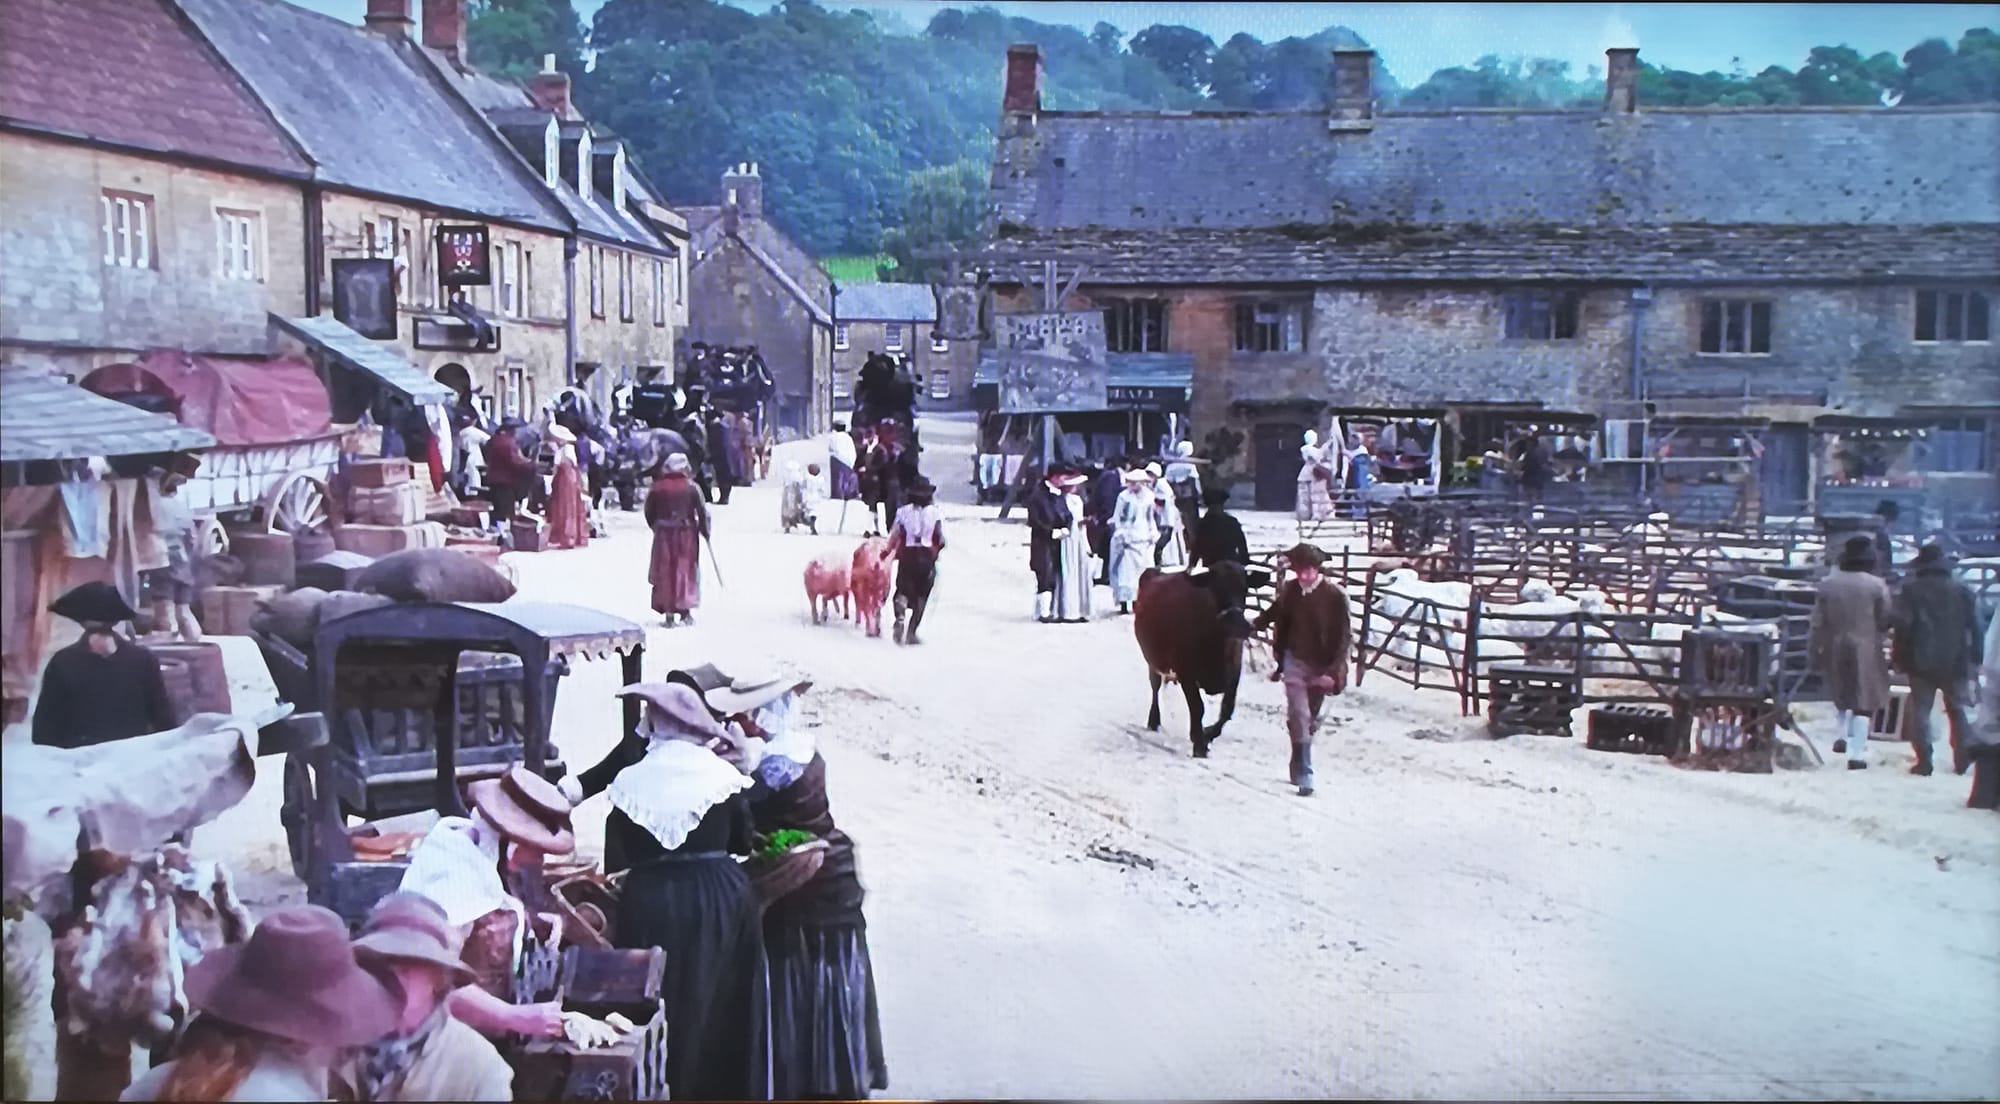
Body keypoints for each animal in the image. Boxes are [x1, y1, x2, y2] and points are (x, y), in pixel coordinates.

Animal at [1144, 564, 1248, 756]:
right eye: (1216, 588)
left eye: (1245, 589)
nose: (1238, 624)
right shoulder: (1186, 673)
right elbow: (1197, 707)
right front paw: (1199, 743)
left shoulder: (1234, 673)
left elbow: (1227, 709)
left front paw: (1207, 734)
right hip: (1153, 662)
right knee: (1155, 686)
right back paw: (1153, 720)